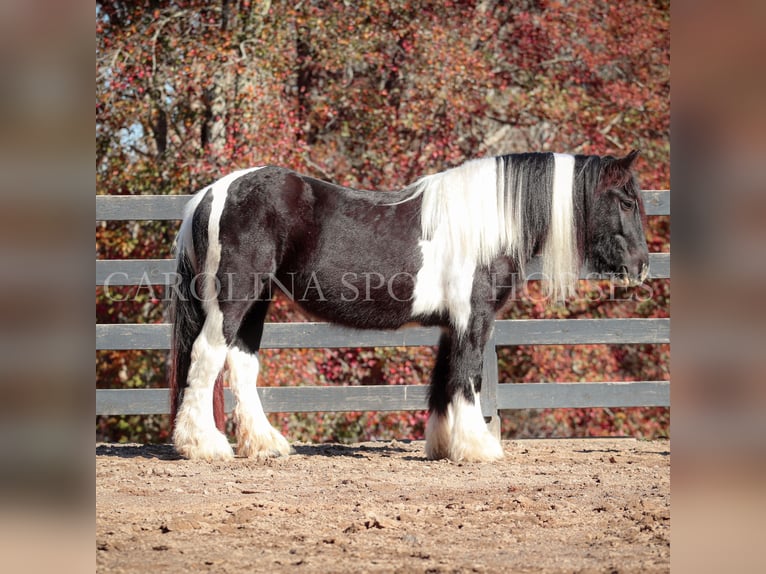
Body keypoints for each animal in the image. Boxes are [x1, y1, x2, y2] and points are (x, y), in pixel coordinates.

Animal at [166, 150, 648, 464]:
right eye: (626, 201)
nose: (641, 266)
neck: (486, 222)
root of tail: (213, 193)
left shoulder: (452, 325)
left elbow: (444, 381)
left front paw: (444, 446)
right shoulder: (474, 319)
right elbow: (468, 376)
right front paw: (478, 448)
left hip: (257, 302)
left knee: (241, 363)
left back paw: (265, 444)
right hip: (235, 296)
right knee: (207, 357)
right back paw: (203, 446)